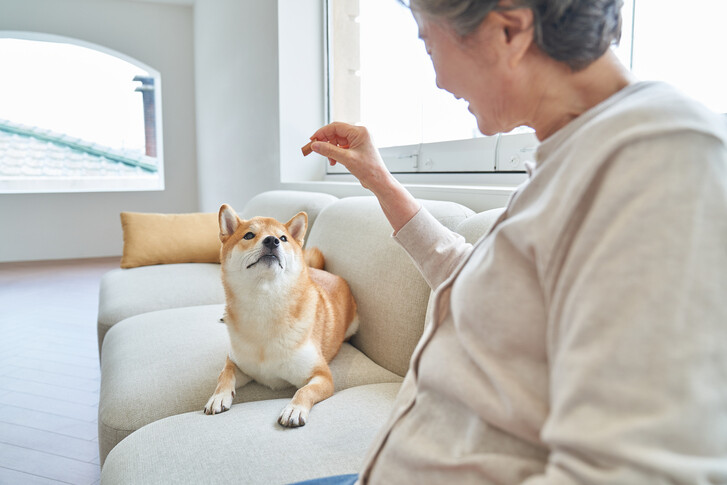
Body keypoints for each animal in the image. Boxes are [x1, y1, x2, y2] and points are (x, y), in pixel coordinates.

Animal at [205, 204, 358, 428]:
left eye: (283, 238)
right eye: (249, 235)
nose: (272, 240)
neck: (264, 306)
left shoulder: (322, 376)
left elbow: (304, 391)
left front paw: (294, 408)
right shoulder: (236, 363)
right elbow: (224, 376)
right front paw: (218, 397)